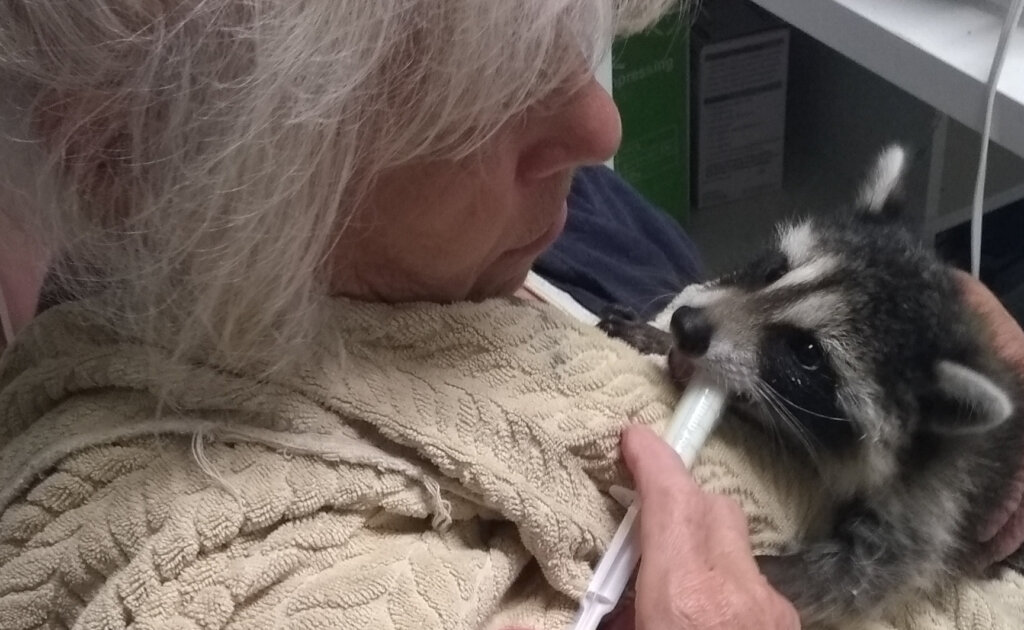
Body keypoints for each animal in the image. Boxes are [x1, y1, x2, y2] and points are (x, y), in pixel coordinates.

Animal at [600, 145, 1024, 627]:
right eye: (775, 270)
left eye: (806, 352)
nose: (685, 325)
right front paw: (659, 340)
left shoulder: (940, 496)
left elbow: (863, 575)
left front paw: (758, 571)